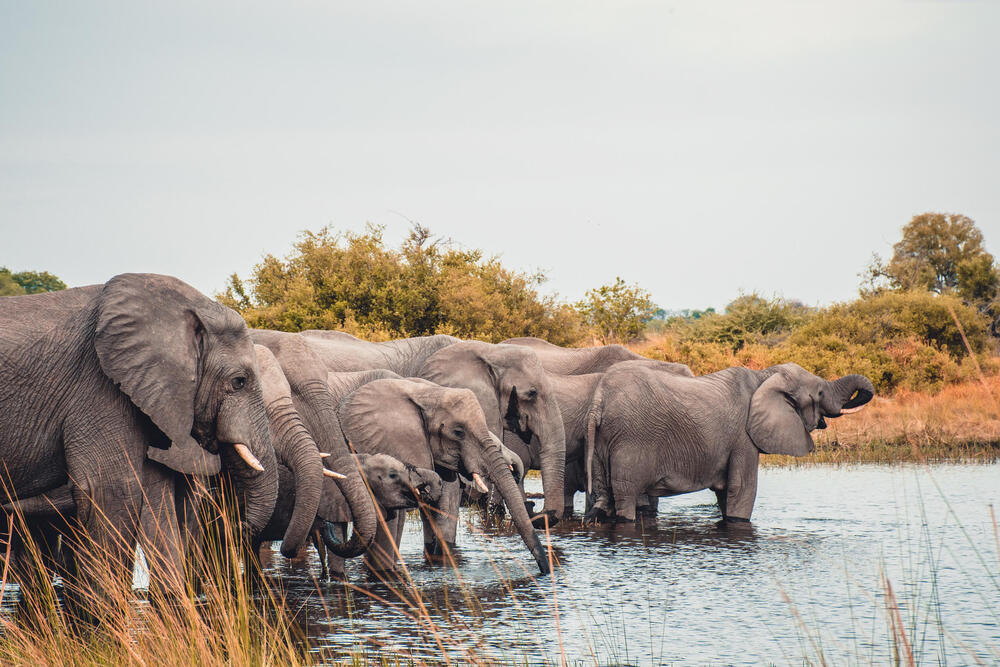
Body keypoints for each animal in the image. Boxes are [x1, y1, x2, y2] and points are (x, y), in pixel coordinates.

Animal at [0, 274, 277, 620]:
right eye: (239, 381)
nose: (238, 524)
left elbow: (155, 493)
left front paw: (170, 600)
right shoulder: (99, 387)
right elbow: (111, 491)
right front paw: (102, 617)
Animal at [584, 362, 874, 524]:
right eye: (820, 393)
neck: (764, 376)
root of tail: (599, 400)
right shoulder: (743, 437)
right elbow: (742, 489)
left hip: (600, 442)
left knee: (602, 498)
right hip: (631, 439)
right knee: (625, 497)